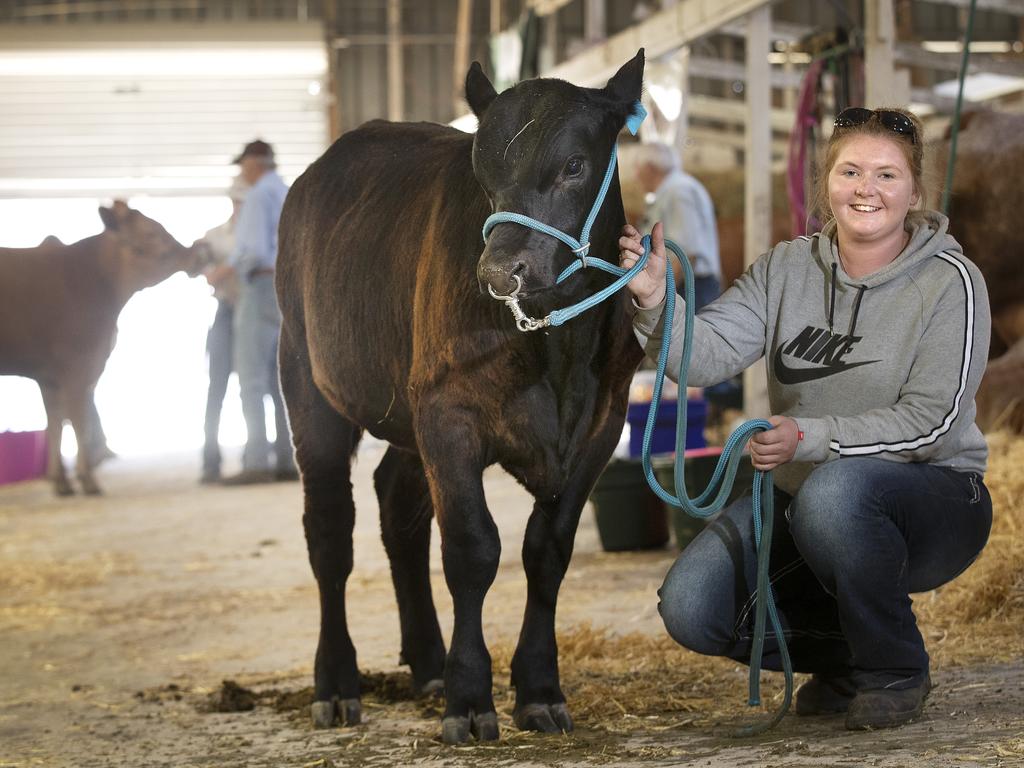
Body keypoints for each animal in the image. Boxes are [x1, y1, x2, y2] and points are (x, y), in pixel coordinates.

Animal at [0, 201, 201, 495]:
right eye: (152, 232)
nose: (196, 253)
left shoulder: (49, 377)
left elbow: (55, 423)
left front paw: (61, 483)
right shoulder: (78, 367)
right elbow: (79, 422)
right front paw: (88, 481)